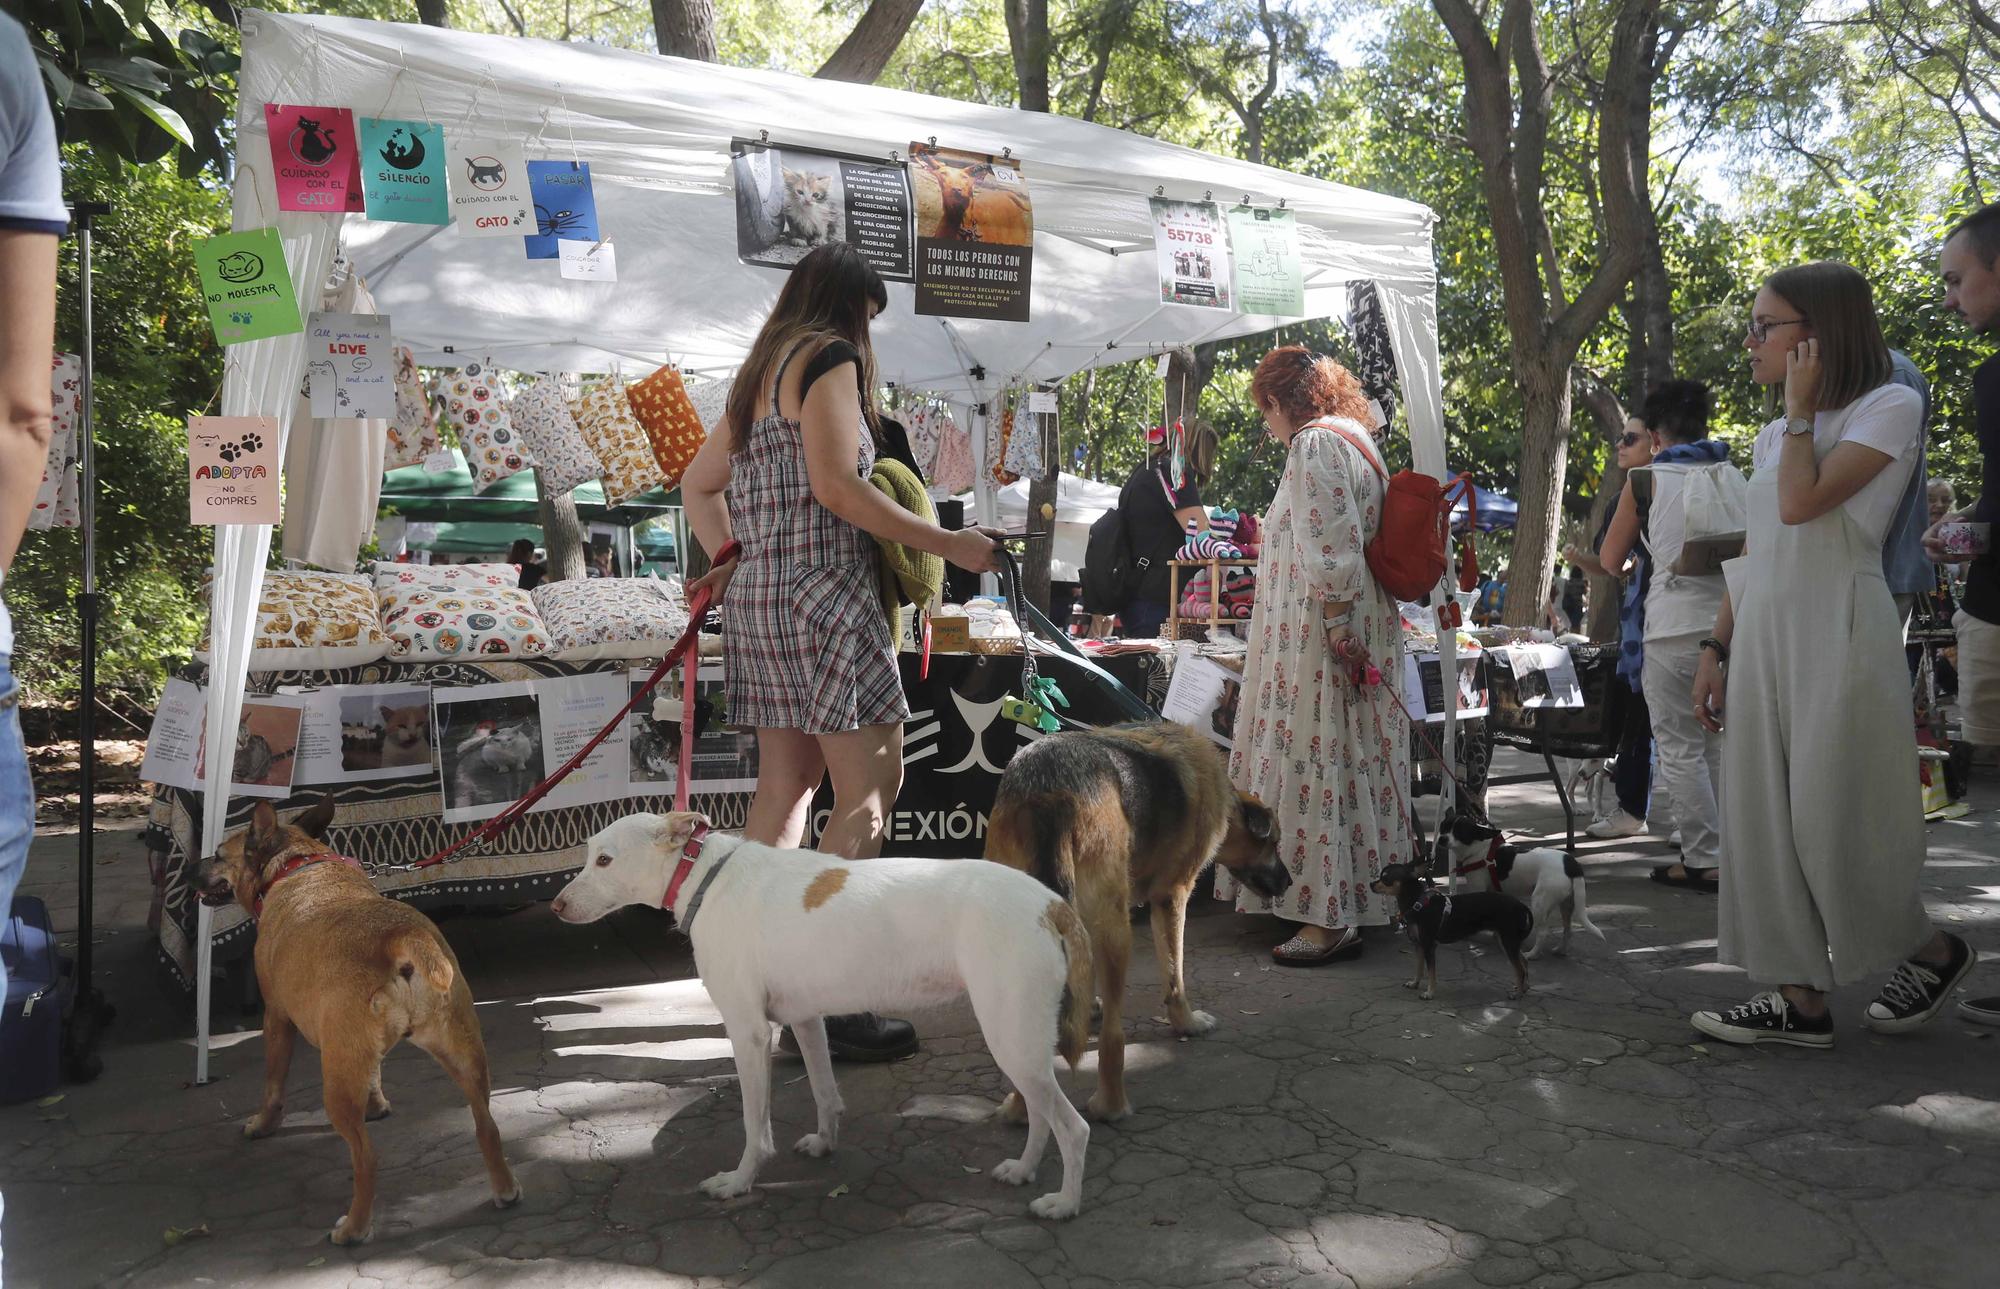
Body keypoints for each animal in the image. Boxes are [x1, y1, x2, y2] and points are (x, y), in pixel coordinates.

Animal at [548, 816, 1096, 1216]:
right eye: (588, 856)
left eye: (604, 860)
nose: (555, 905)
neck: (704, 876)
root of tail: (1051, 904)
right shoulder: (807, 1021)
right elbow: (825, 1093)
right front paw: (824, 1143)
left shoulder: (748, 1034)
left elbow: (755, 1126)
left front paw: (739, 1181)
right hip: (1022, 1043)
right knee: (1042, 1115)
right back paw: (1023, 1171)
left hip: (1011, 1038)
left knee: (1073, 1128)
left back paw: (1065, 1203)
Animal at [988, 720, 1296, 1120]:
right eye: (1273, 843)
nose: (1289, 882)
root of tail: (1048, 791)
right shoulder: (1172, 897)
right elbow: (1175, 977)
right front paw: (1187, 1023)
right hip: (1116, 930)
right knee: (1112, 1038)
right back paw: (1111, 1106)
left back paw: (1018, 1106)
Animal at [1440, 804, 1608, 956]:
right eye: (1443, 827)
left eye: (1459, 832)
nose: (1441, 838)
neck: (1479, 848)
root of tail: (1571, 864)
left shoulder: (1478, 889)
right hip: (1567, 903)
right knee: (1568, 929)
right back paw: (1561, 950)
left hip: (1540, 902)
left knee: (1543, 932)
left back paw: (1531, 954)